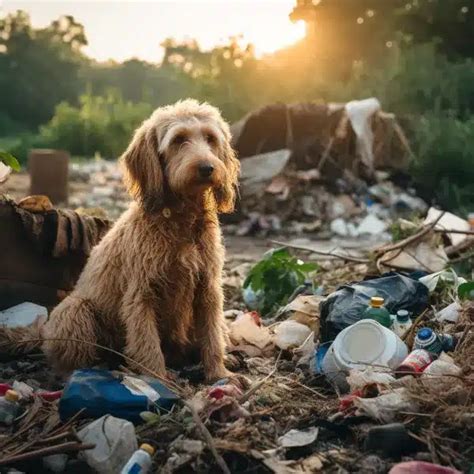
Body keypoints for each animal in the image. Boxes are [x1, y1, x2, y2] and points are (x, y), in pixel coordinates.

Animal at [41, 100, 241, 382]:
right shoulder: (141, 295)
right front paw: (157, 380)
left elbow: (212, 334)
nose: (206, 168)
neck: (180, 219)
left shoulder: (208, 289)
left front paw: (219, 373)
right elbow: (147, 343)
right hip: (75, 310)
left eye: (211, 138)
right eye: (178, 139)